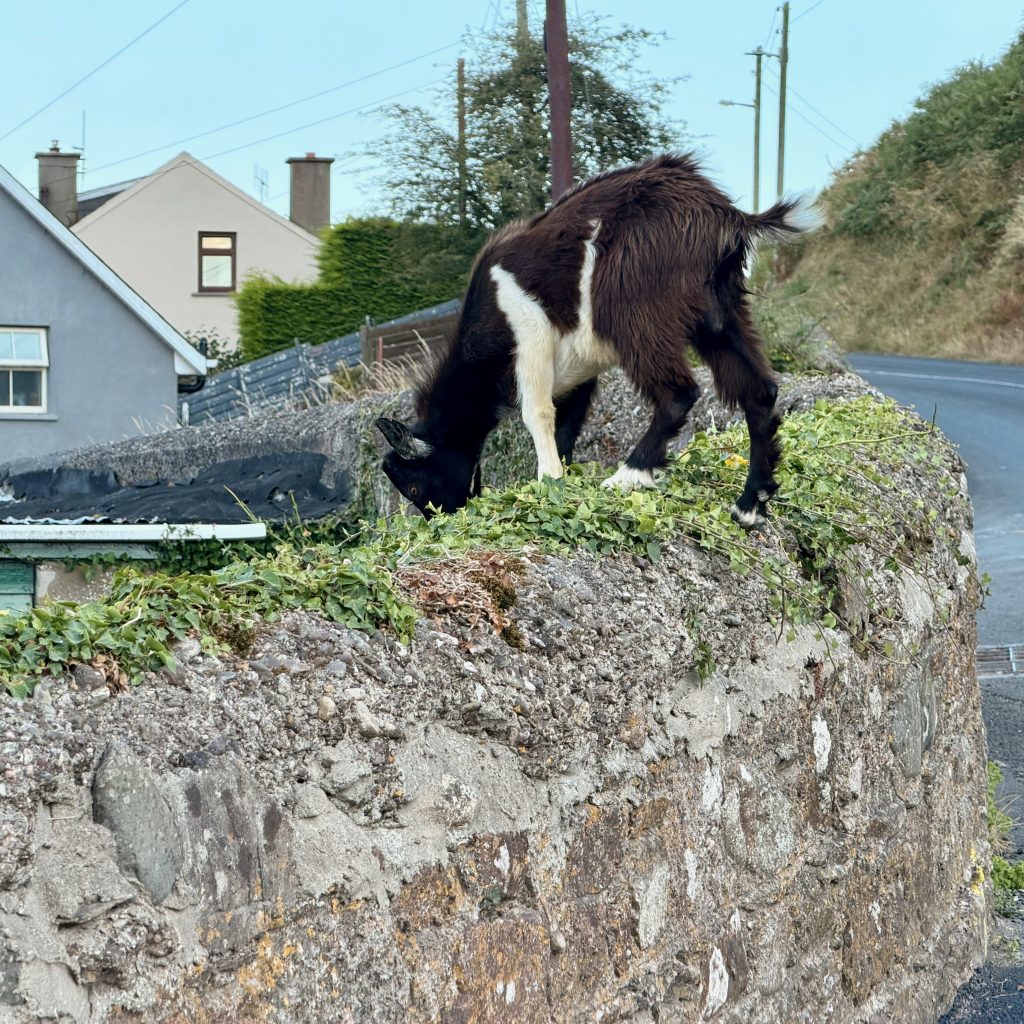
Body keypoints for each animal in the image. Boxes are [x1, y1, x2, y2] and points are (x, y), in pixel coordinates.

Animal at [377, 153, 821, 525]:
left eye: (413, 485)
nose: (443, 519)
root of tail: (723, 214)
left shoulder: (531, 338)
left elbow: (538, 414)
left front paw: (549, 481)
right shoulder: (578, 370)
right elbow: (567, 425)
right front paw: (561, 479)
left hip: (635, 314)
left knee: (678, 393)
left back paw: (629, 476)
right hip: (721, 316)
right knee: (759, 392)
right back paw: (750, 505)